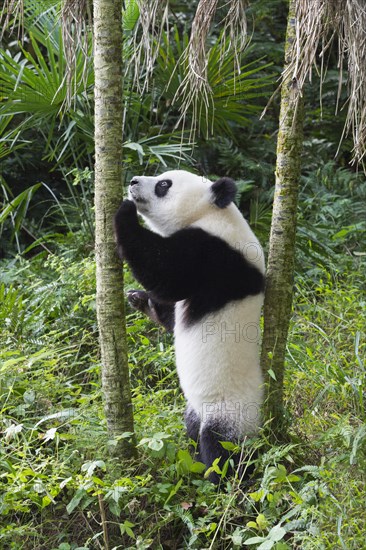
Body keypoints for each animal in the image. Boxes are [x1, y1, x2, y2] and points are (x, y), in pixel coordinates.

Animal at [115, 170, 266, 486]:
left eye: (164, 184)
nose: (133, 181)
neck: (211, 211)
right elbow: (171, 314)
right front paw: (139, 299)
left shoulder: (217, 253)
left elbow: (167, 273)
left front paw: (125, 211)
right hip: (195, 408)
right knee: (193, 429)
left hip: (231, 410)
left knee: (221, 445)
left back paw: (221, 481)